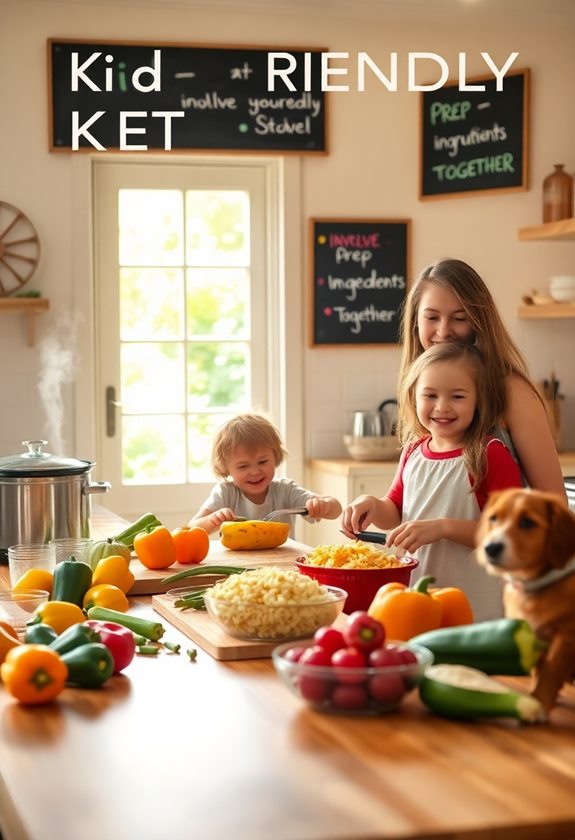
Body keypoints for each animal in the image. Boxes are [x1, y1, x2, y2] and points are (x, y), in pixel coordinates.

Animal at [480, 488, 575, 720]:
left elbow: (550, 671)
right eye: (493, 518)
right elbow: (539, 669)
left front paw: (540, 702)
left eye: (527, 523)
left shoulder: (567, 637)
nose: (490, 548)